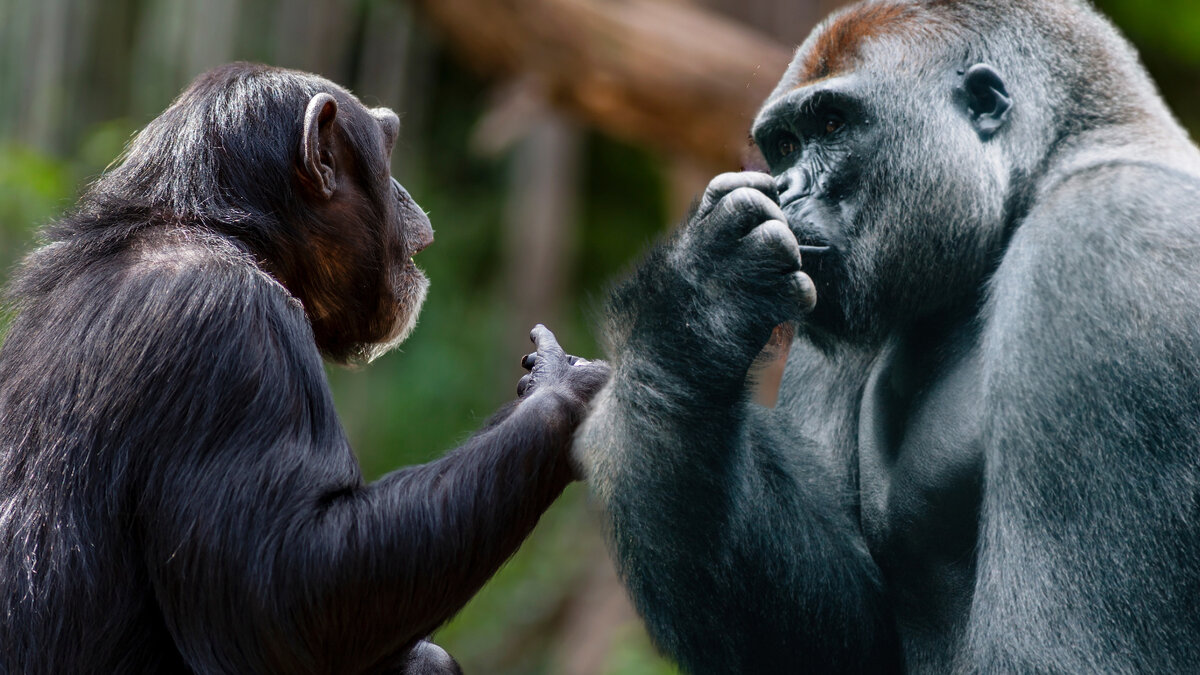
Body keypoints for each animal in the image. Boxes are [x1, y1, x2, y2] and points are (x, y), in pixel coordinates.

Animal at [0, 63, 609, 672]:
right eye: (388, 150)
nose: (406, 193)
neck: (227, 233)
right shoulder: (232, 334)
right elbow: (287, 588)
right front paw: (564, 388)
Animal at [576, 0, 1200, 667]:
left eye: (831, 124)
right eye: (785, 145)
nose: (789, 189)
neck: (1050, 168)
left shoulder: (1101, 251)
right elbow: (850, 635)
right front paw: (694, 312)